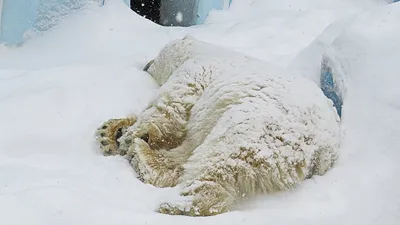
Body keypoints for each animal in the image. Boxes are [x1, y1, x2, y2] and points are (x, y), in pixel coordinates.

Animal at [95, 36, 340, 217]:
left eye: (157, 57)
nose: (146, 64)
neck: (207, 50)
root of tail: (325, 148)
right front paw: (110, 132)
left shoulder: (197, 70)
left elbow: (172, 104)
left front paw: (129, 135)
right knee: (191, 153)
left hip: (265, 123)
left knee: (224, 155)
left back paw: (172, 196)